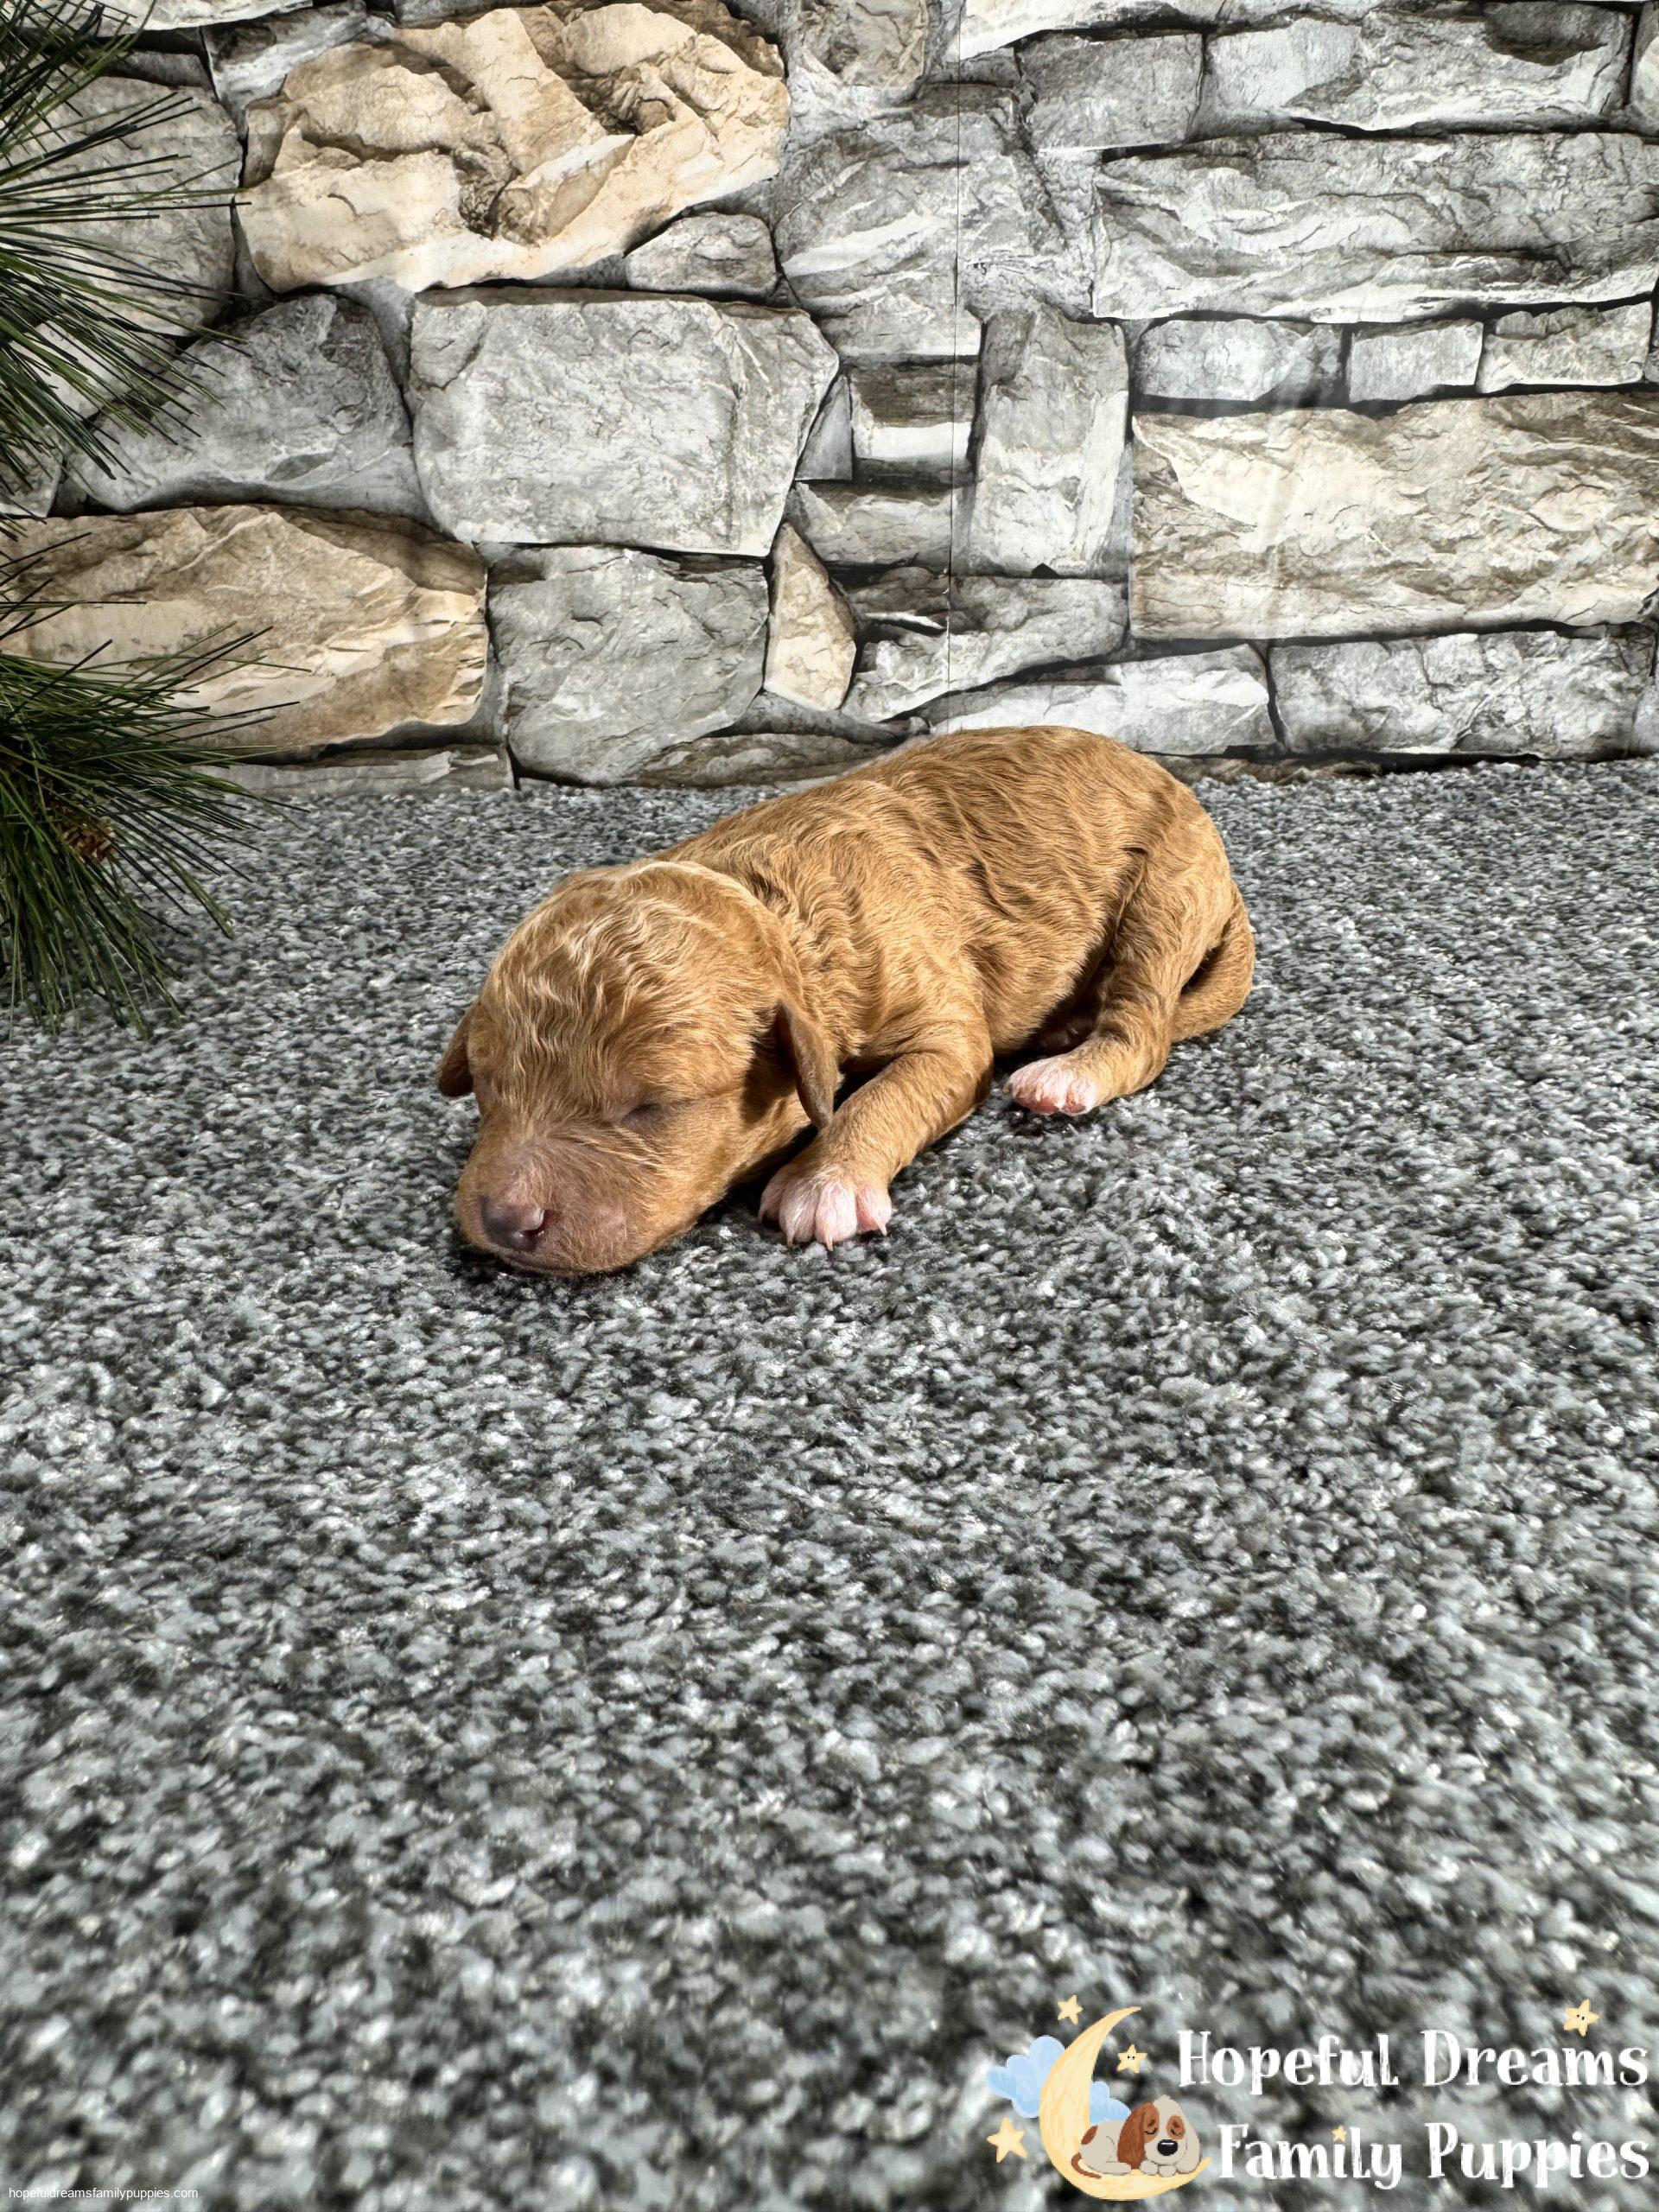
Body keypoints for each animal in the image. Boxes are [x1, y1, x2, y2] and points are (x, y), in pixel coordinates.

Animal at [437, 723, 1253, 1274]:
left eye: (650, 1109)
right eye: (488, 1088)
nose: (506, 1221)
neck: (775, 907)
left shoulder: (944, 1025)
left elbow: (889, 1094)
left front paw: (825, 1180)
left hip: (1162, 895)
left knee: (1143, 1029)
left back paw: (1067, 1071)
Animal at [1074, 2099, 1203, 2180]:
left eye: (1176, 2130)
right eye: (1149, 2130)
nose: (1167, 2146)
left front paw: (1167, 2168)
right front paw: (1150, 2166)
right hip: (1105, 2143)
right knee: (1097, 2163)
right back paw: (1120, 2167)